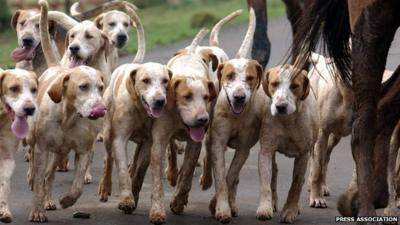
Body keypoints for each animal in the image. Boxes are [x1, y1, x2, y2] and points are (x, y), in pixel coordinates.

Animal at [28, 1, 106, 221]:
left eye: (100, 87)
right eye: (83, 87)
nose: (100, 109)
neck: (67, 118)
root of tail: (56, 67)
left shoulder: (83, 150)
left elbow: (78, 185)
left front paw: (67, 200)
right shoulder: (42, 149)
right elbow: (39, 181)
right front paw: (37, 211)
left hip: (59, 153)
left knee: (50, 175)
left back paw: (49, 200)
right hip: (37, 144)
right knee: (39, 174)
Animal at [260, 64, 318, 222]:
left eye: (294, 86)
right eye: (274, 84)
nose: (280, 106)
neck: (288, 121)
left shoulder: (303, 154)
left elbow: (296, 184)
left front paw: (290, 210)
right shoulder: (266, 149)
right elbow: (266, 181)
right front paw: (265, 207)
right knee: (274, 172)